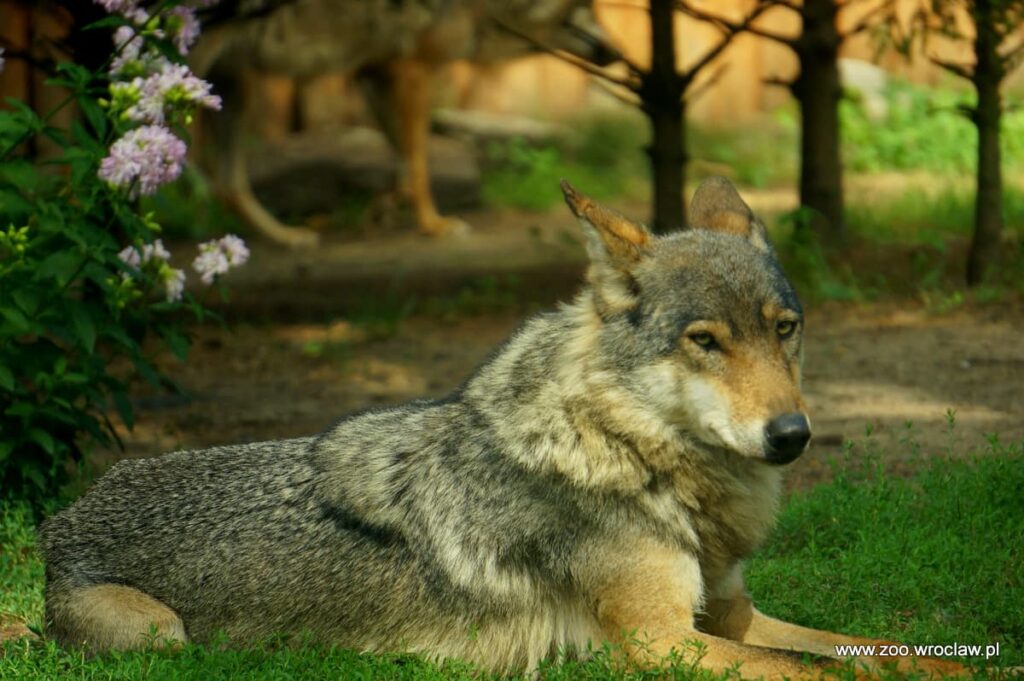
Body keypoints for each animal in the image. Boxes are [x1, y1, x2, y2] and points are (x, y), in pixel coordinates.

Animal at [39, 178, 966, 675]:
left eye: (785, 329)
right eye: (704, 341)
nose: (791, 434)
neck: (631, 455)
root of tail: (60, 521)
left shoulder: (730, 616)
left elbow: (874, 647)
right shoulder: (662, 642)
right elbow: (822, 670)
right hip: (161, 637)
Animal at [191, 0, 614, 244]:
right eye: (590, 8)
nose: (616, 54)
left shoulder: (375, 70)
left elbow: (401, 159)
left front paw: (383, 209)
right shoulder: (413, 71)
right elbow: (418, 162)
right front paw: (434, 226)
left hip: (229, 89)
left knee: (226, 184)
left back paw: (288, 237)